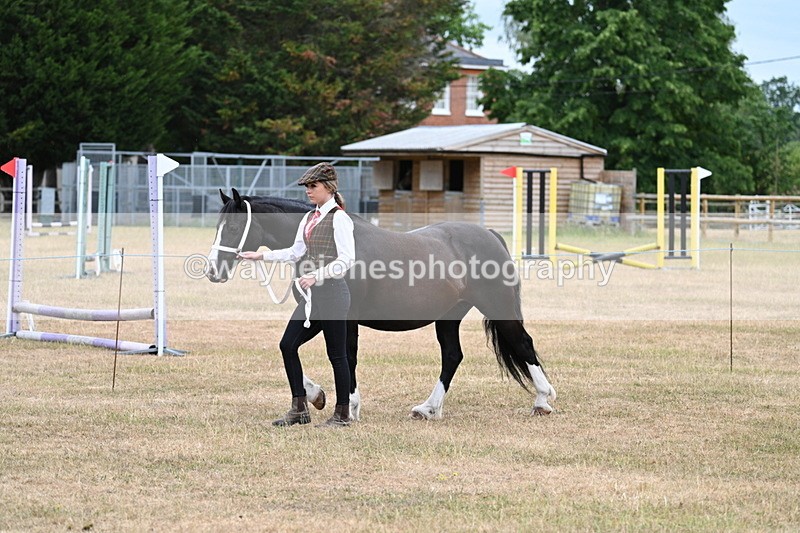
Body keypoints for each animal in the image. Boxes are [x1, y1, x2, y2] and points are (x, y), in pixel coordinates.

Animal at [206, 188, 556, 420]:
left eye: (233, 227)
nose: (212, 271)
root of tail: (490, 235)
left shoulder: (343, 317)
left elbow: (346, 356)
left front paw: (350, 407)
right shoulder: (315, 315)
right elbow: (289, 347)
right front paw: (317, 396)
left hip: (498, 306)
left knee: (523, 344)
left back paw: (543, 401)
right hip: (448, 317)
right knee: (452, 357)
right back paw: (428, 408)